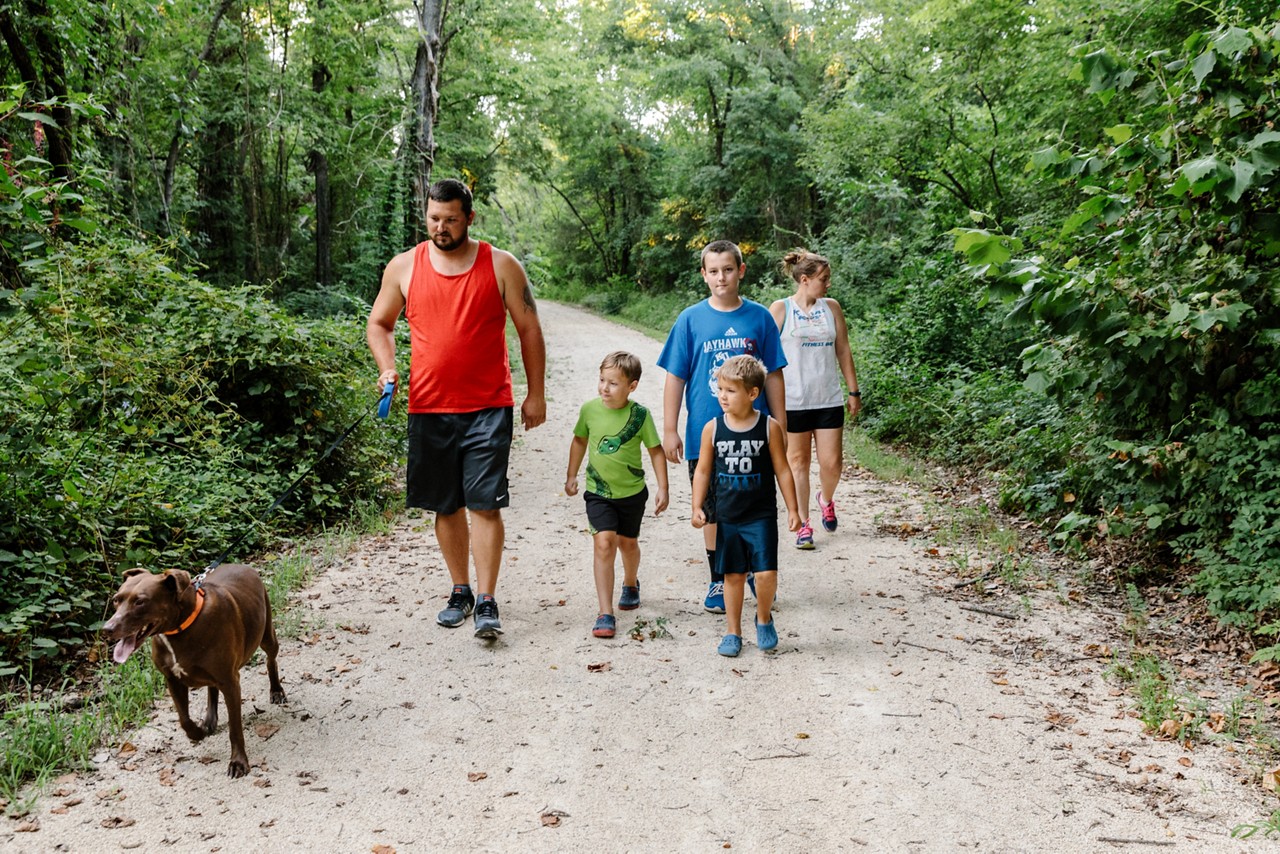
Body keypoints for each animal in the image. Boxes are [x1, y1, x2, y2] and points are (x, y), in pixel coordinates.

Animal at [102, 563, 288, 778]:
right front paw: (198, 733)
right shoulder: (172, 679)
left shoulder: (230, 682)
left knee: (271, 659)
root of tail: (242, 565)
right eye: (116, 600)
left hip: (266, 635)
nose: (107, 629)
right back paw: (209, 720)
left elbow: (235, 729)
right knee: (211, 687)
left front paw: (238, 762)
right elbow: (184, 720)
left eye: (140, 601)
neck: (181, 627)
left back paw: (276, 690)